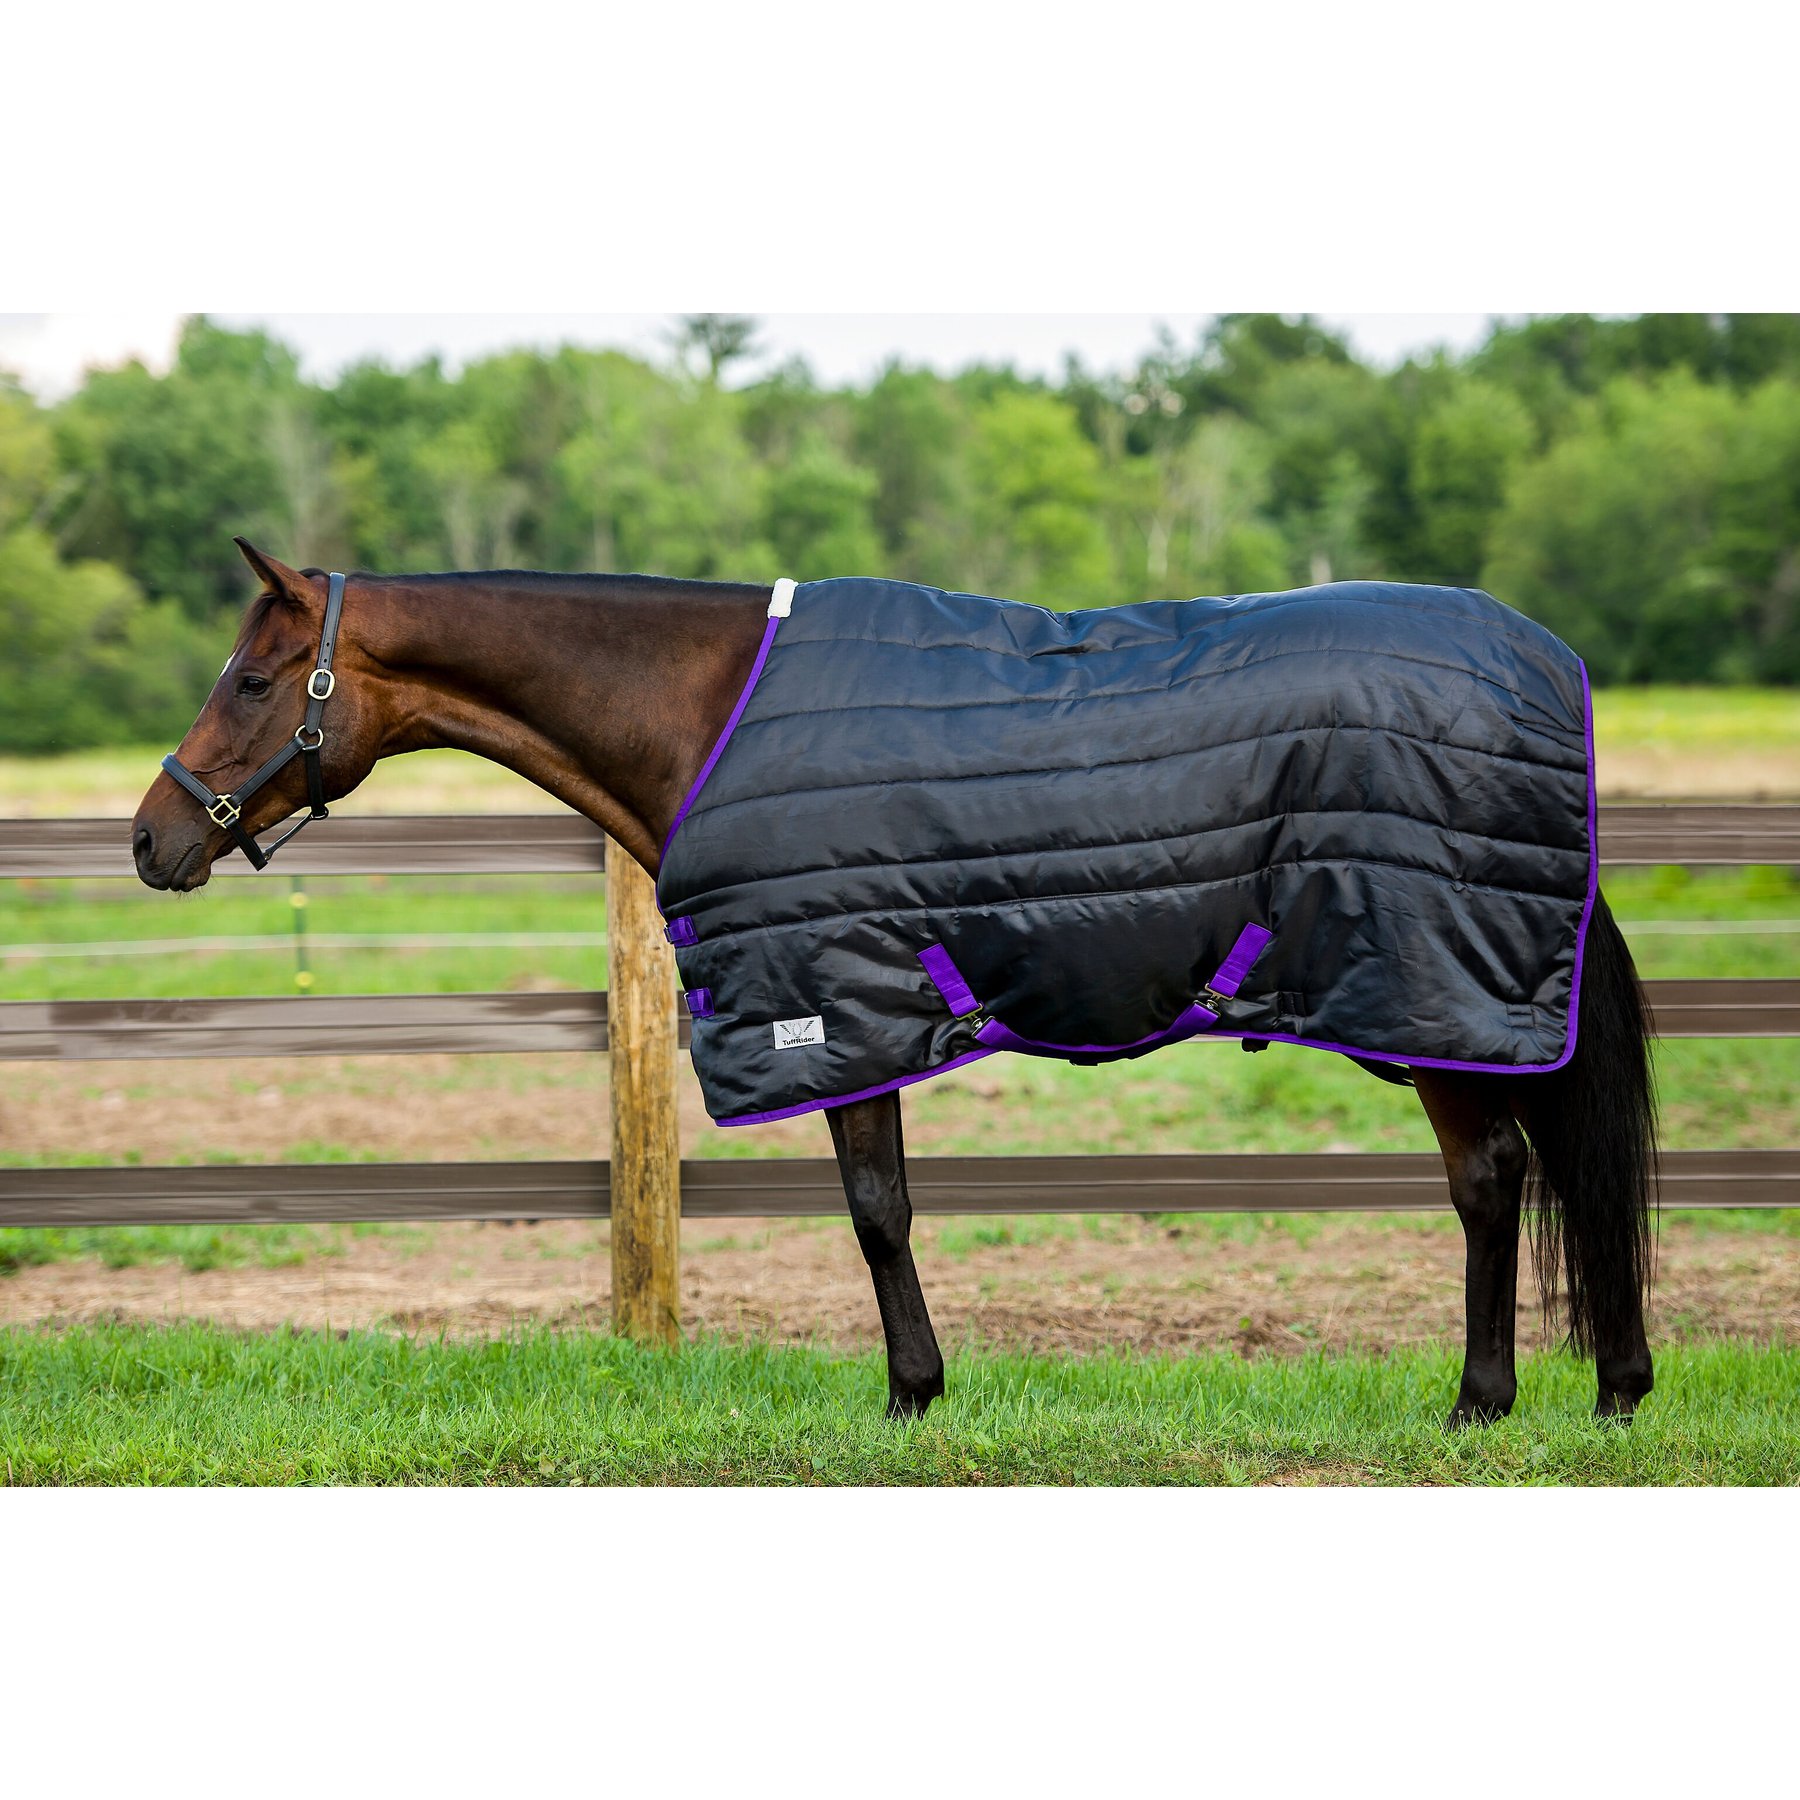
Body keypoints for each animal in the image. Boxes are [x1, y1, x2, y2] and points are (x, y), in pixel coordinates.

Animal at [132, 540, 1658, 1427]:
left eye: (255, 678)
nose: (152, 838)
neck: (712, 709)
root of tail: (1539, 663)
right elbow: (887, 1209)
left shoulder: (833, 999)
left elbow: (876, 1212)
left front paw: (913, 1399)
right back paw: (1611, 1384)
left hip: (1427, 991)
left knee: (1492, 1182)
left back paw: (1483, 1403)